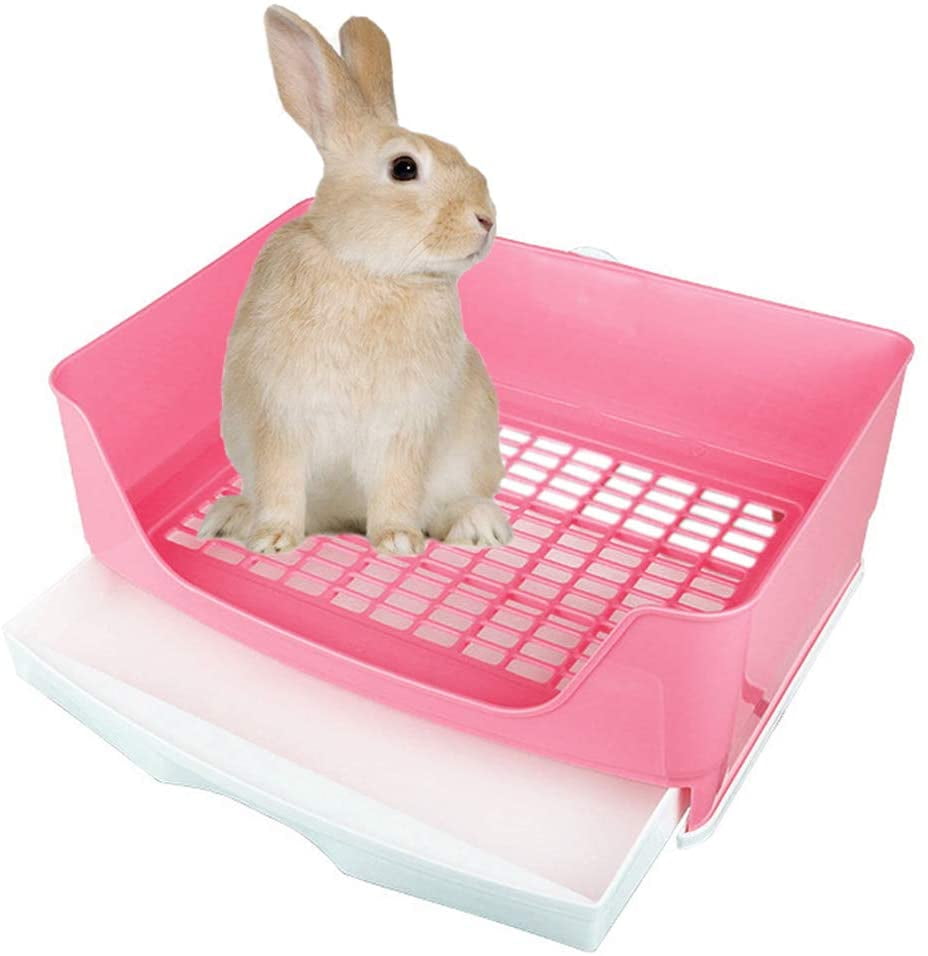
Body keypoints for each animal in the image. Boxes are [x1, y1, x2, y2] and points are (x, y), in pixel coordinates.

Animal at [199, 6, 512, 557]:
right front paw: (271, 540)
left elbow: (397, 488)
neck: (367, 269)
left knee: (454, 503)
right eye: (404, 168)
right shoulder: (280, 419)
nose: (486, 219)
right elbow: (281, 483)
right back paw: (233, 517)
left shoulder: (402, 431)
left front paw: (398, 541)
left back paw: (476, 526)